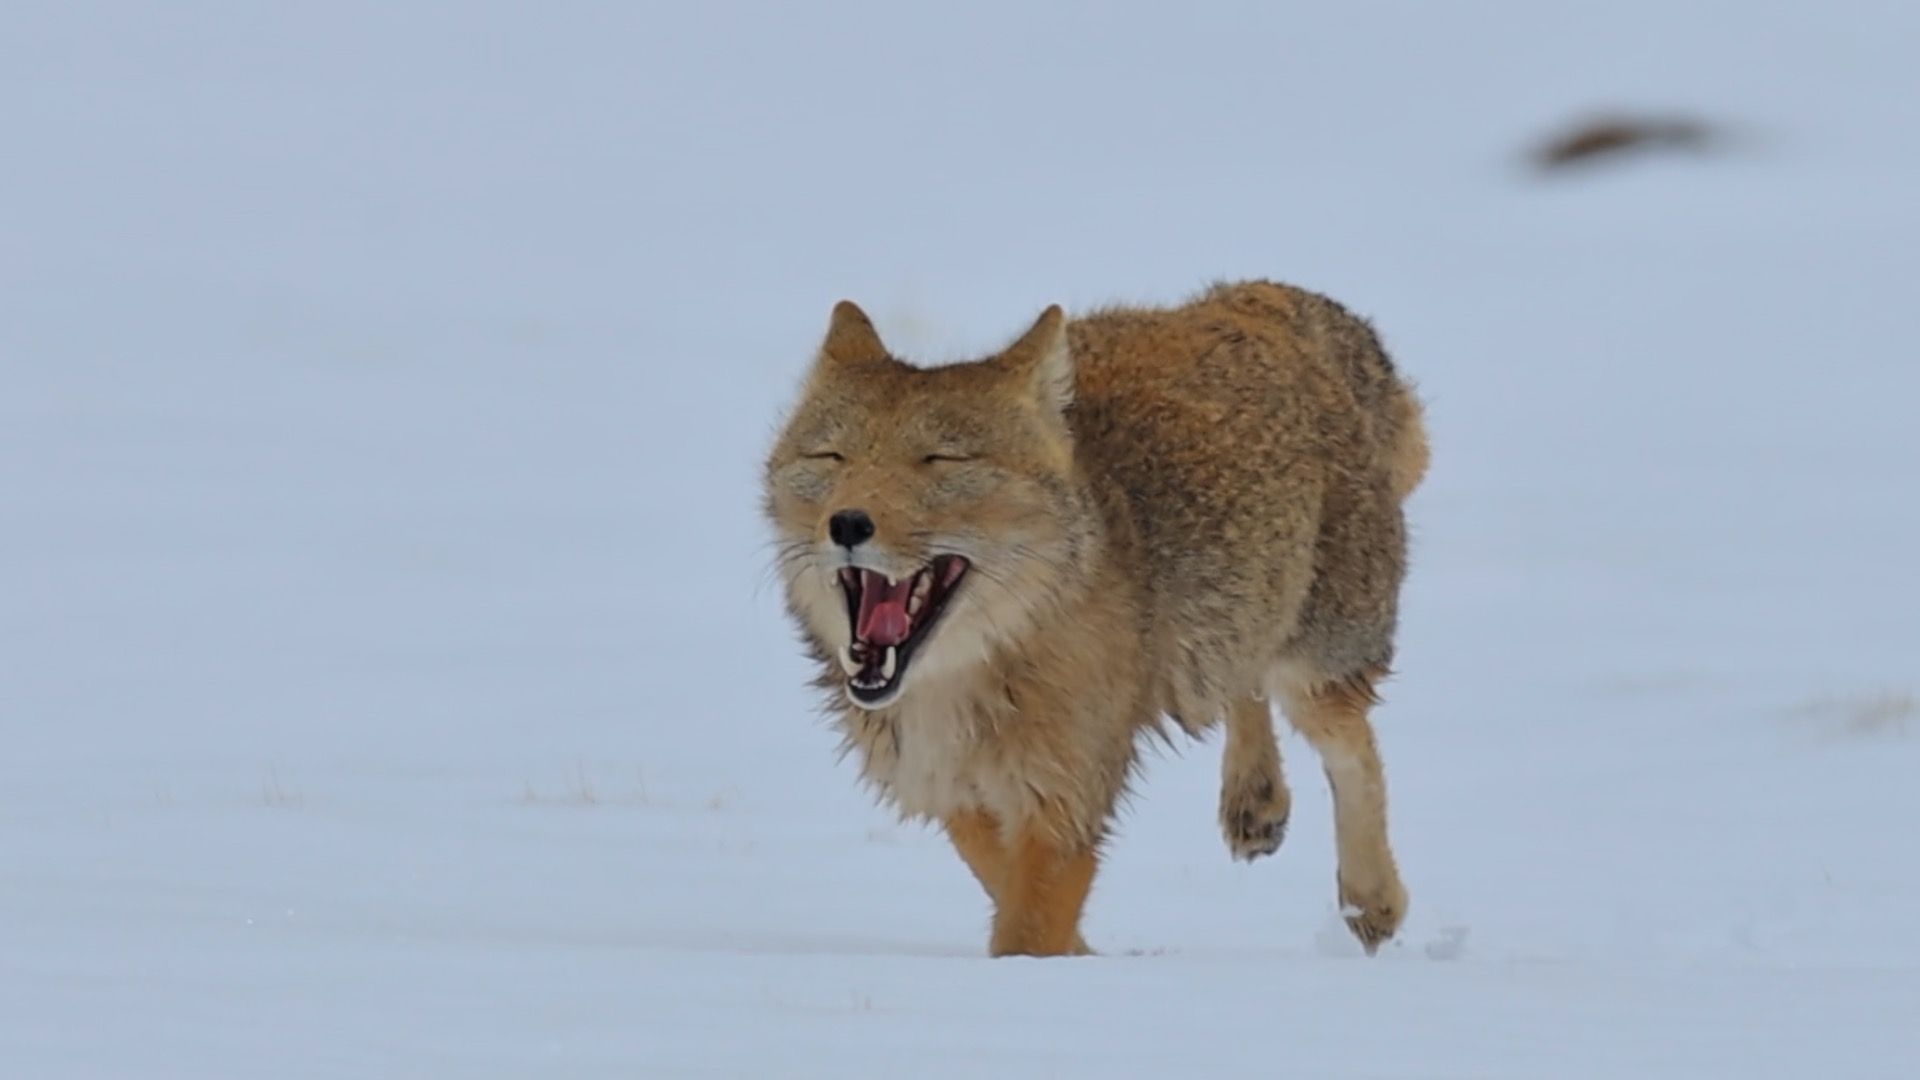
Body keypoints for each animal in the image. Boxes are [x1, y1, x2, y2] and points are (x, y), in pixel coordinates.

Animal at [763, 280, 1428, 958]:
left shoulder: (1063, 802)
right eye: (832, 456)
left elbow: (1026, 930)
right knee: (1244, 683)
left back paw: (1372, 899)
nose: (847, 523)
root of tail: (1273, 296)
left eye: (940, 460)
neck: (965, 681)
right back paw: (1256, 801)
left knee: (1351, 747)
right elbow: (1010, 895)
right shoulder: (955, 793)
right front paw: (1084, 959)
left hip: (1315, 671)